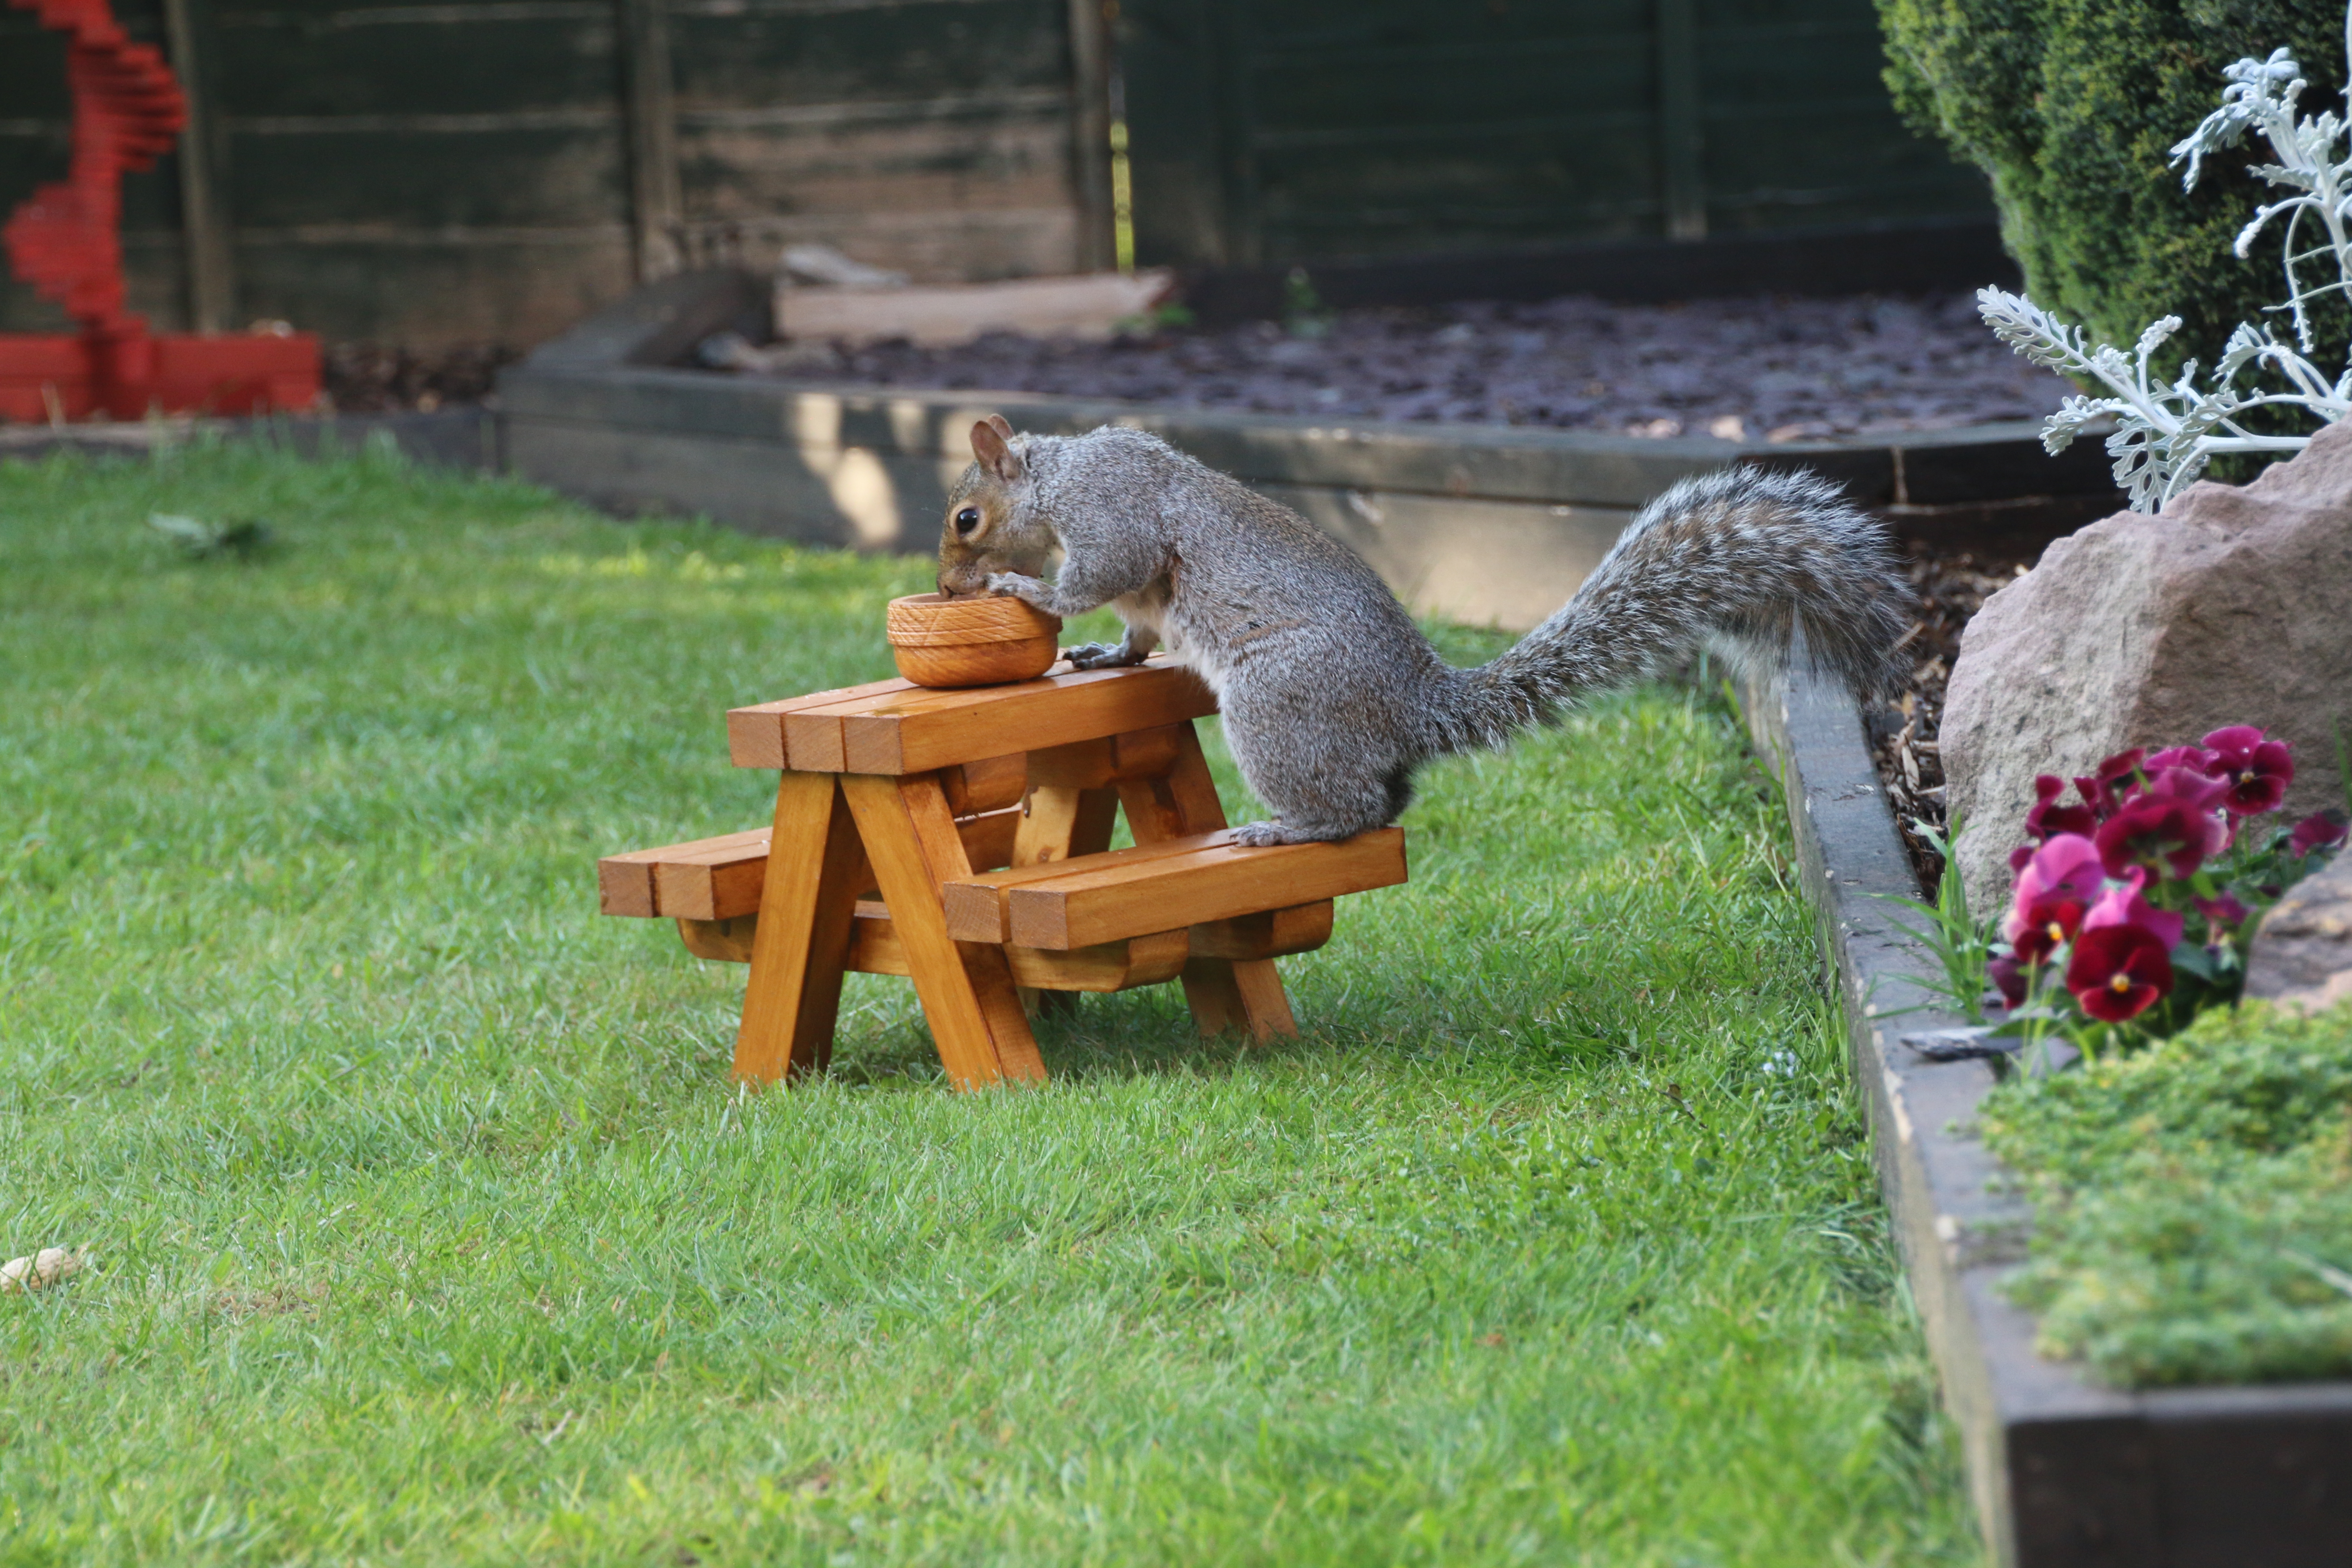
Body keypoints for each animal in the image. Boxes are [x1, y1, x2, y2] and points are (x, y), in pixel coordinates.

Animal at [936, 413, 1905, 847]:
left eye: (965, 520)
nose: (945, 585)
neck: (1059, 473)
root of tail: (1412, 704)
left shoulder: (1115, 517)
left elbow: (1095, 577)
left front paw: (1023, 588)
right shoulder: (1143, 597)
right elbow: (1135, 629)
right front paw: (1105, 650)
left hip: (1279, 706)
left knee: (1355, 809)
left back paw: (1284, 830)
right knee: (1387, 799)